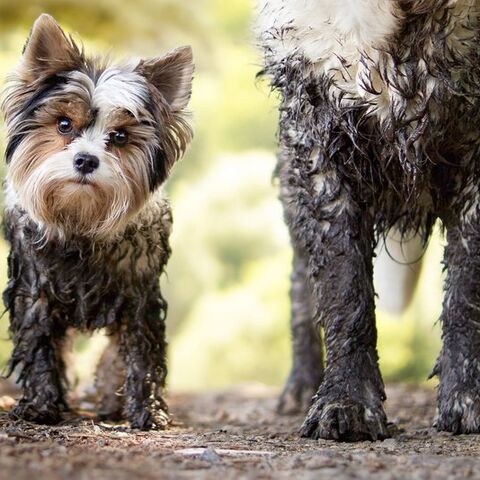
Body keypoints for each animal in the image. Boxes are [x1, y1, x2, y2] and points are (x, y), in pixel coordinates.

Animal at [2, 15, 193, 430]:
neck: (80, 220)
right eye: (63, 125)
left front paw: (147, 410)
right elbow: (41, 347)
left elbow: (139, 352)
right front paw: (41, 404)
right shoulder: (36, 292)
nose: (86, 160)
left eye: (119, 136)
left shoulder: (139, 296)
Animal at [258, 0, 480, 442]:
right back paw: (301, 386)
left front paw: (467, 398)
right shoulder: (319, 149)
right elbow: (344, 293)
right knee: (301, 289)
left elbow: (465, 294)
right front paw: (345, 402)